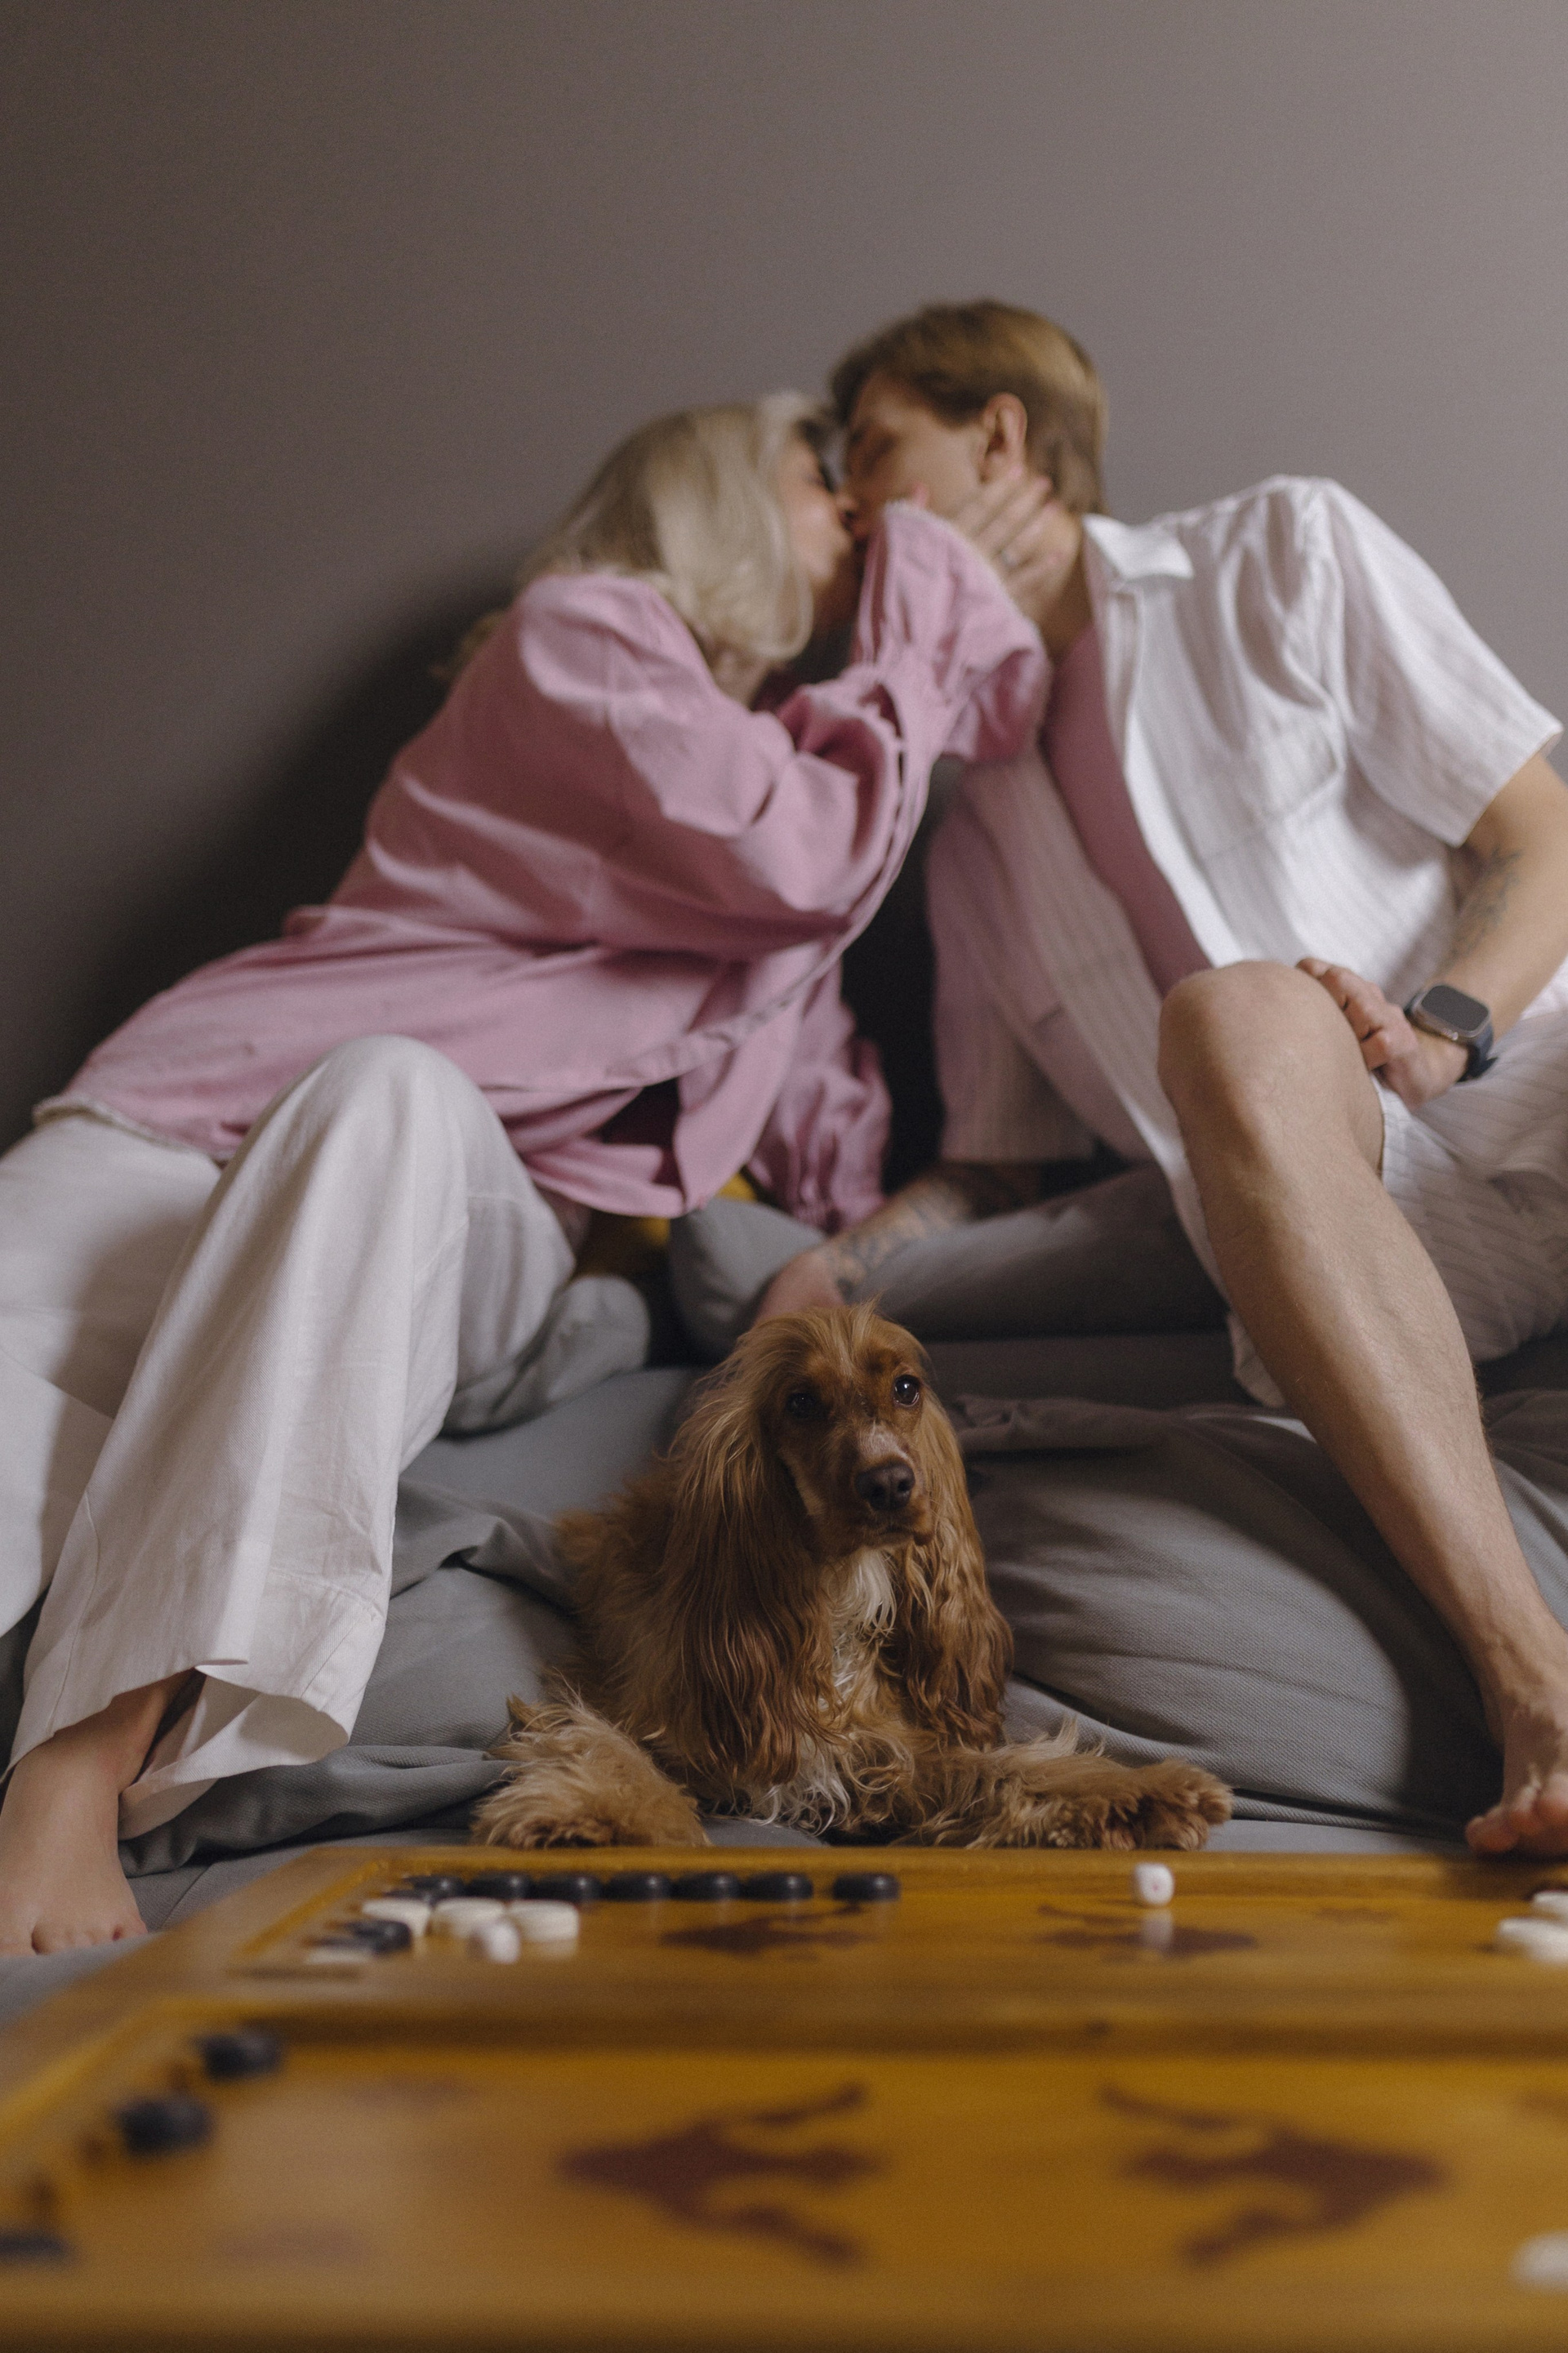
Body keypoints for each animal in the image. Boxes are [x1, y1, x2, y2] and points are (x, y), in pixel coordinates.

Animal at [474, 1304, 1231, 1850]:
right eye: (801, 1402)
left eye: (906, 1388)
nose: (890, 1482)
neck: (834, 1591)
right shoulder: (639, 1704)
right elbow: (610, 1747)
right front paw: (605, 1821)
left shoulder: (889, 1753)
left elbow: (1005, 1768)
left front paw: (1138, 1798)